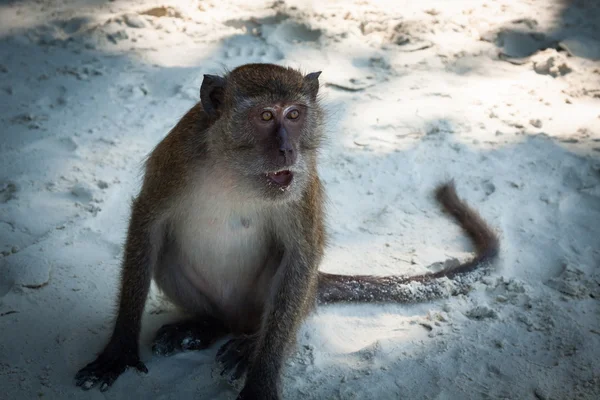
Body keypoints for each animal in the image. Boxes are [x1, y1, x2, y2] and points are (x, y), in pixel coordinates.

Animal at [74, 63, 496, 400]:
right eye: (265, 116)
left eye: (293, 114)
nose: (287, 150)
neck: (235, 169)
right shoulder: (177, 157)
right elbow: (148, 222)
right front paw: (119, 351)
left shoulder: (301, 182)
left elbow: (301, 252)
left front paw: (261, 380)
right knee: (168, 257)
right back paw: (205, 325)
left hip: (281, 301)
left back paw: (249, 346)